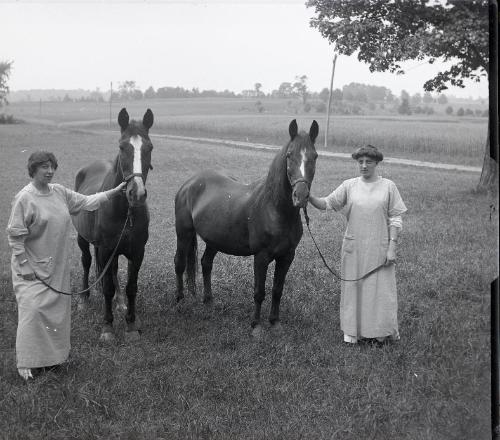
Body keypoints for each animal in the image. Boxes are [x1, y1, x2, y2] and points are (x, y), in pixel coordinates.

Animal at [72, 108, 153, 342]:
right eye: (122, 147)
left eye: (149, 147)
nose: (137, 193)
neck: (124, 210)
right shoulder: (106, 250)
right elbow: (107, 286)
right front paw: (107, 327)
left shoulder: (137, 251)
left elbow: (131, 287)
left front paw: (131, 324)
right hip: (84, 240)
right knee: (86, 262)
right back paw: (84, 298)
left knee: (114, 270)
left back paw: (119, 302)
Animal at [174, 118, 318, 332]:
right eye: (289, 155)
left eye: (315, 156)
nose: (300, 196)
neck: (275, 210)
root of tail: (188, 184)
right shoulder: (261, 257)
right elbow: (259, 292)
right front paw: (256, 326)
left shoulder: (287, 256)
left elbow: (277, 290)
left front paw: (275, 322)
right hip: (183, 234)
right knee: (179, 263)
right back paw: (179, 300)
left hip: (214, 239)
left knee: (206, 264)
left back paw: (208, 300)